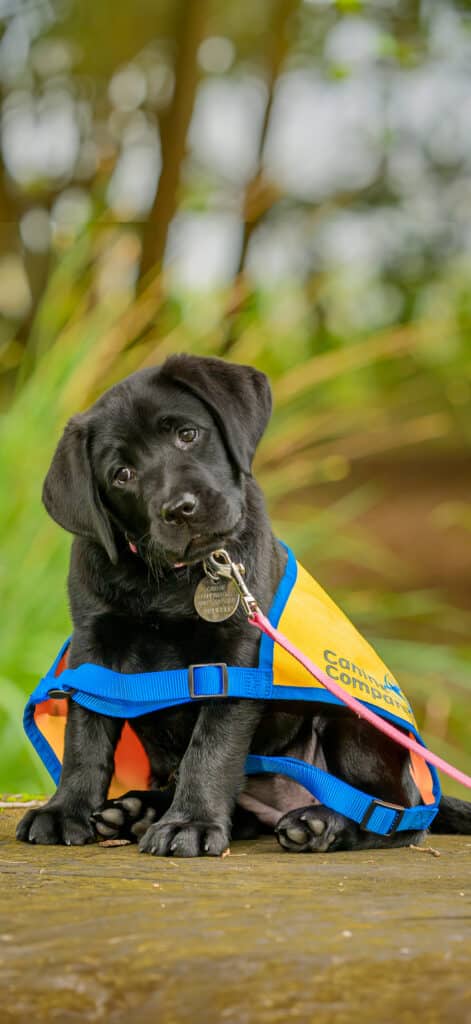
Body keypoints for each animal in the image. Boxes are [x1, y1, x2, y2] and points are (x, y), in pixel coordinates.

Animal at [17, 356, 471, 851]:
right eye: (122, 474)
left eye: (188, 434)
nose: (181, 508)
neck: (175, 577)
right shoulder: (94, 646)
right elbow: (86, 734)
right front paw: (65, 810)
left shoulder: (233, 658)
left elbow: (211, 746)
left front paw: (190, 823)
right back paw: (139, 811)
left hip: (354, 719)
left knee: (396, 814)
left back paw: (320, 823)